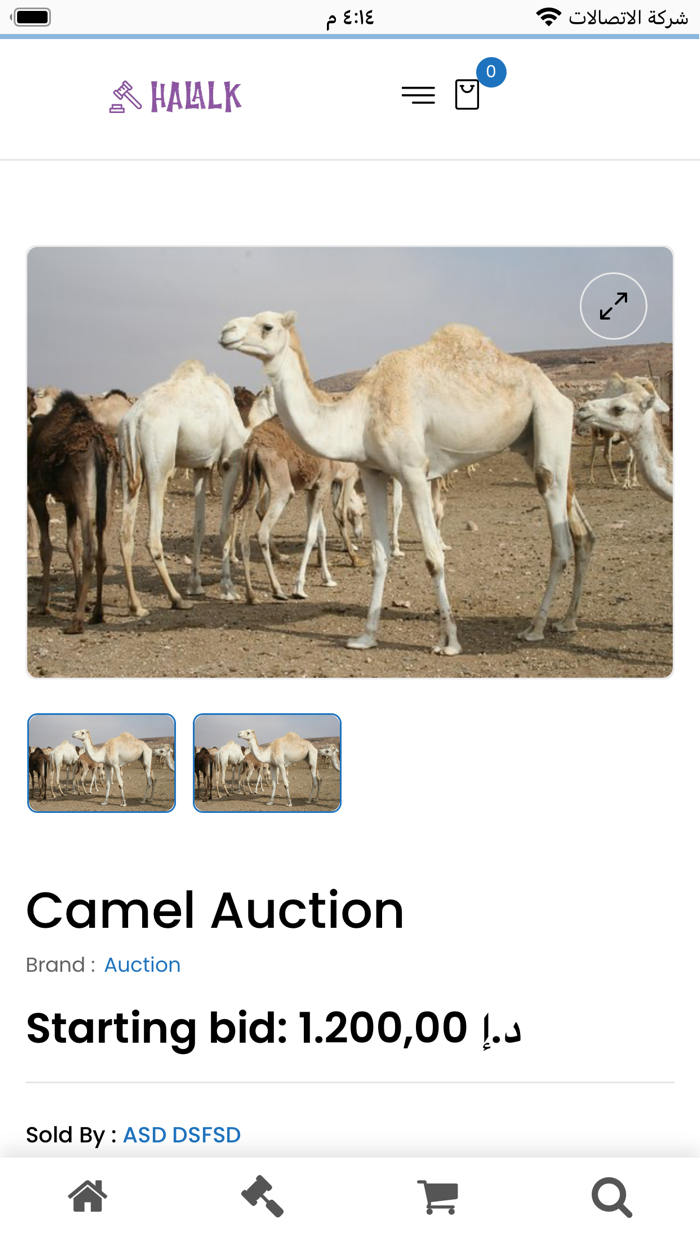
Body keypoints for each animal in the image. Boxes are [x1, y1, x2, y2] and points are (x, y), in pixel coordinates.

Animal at [28, 392, 118, 634]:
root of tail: (99, 446)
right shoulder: (69, 500)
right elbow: (71, 545)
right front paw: (80, 600)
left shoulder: (35, 491)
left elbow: (47, 547)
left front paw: (42, 604)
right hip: (107, 492)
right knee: (101, 550)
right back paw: (97, 613)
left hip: (84, 489)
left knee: (90, 550)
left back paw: (76, 622)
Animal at [118, 360, 248, 617]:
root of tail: (135, 417)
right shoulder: (230, 462)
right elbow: (225, 526)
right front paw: (228, 588)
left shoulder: (201, 467)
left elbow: (199, 526)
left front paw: (195, 585)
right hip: (159, 463)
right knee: (152, 538)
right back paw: (176, 598)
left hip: (128, 464)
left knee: (125, 535)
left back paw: (136, 605)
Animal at [220, 312, 594, 654]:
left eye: (267, 326)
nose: (225, 330)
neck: (358, 414)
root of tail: (557, 392)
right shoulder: (371, 472)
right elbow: (379, 557)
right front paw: (366, 637)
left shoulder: (414, 472)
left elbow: (432, 557)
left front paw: (450, 641)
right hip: (528, 442)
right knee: (577, 530)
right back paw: (565, 622)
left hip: (549, 420)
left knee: (558, 530)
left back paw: (535, 627)